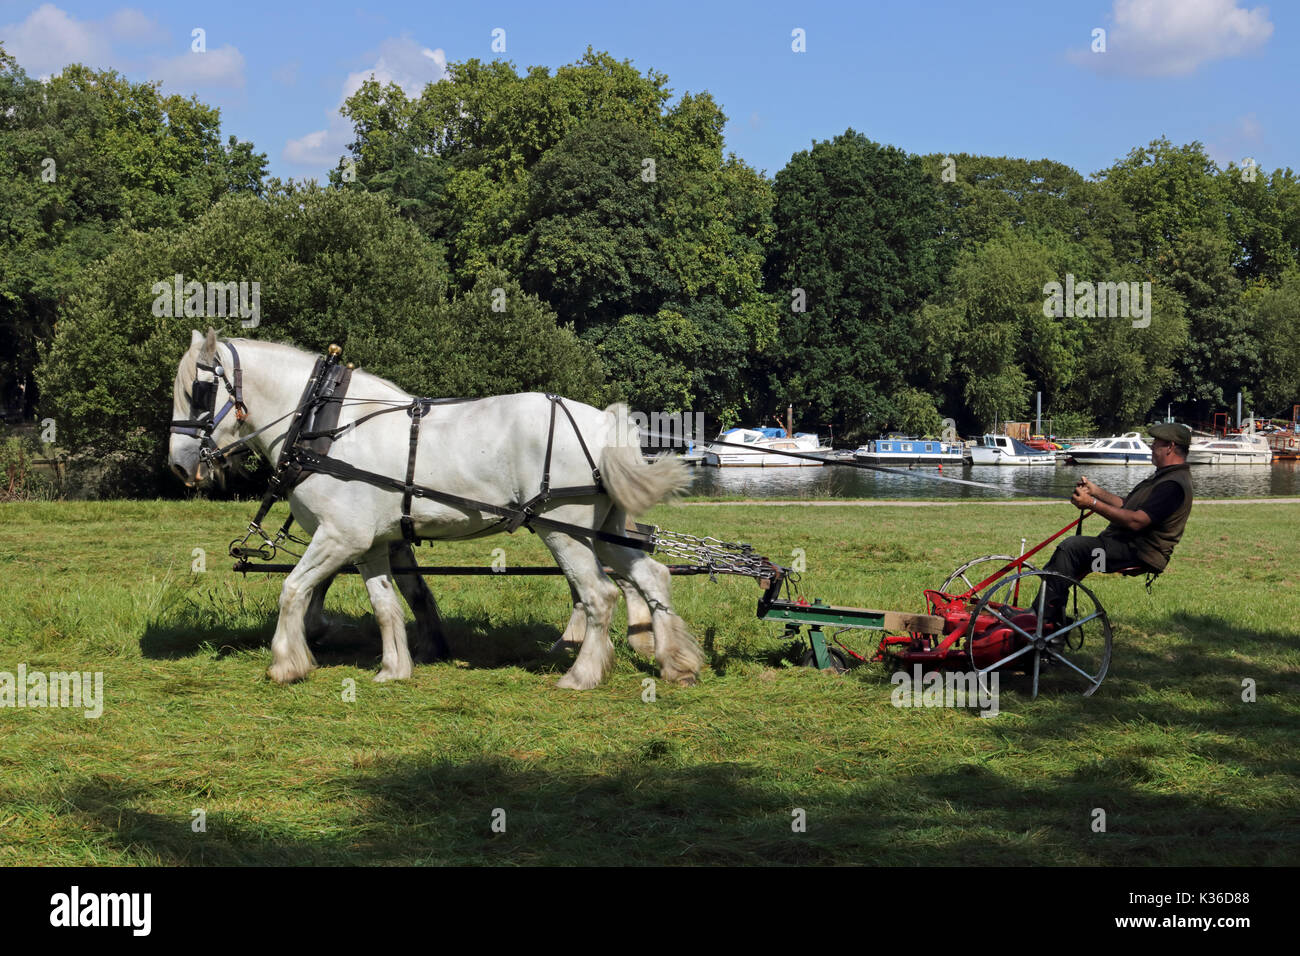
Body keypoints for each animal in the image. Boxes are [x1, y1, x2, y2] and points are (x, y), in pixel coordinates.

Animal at [167, 329, 704, 690]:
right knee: (652, 576)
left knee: (599, 594)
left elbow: (293, 589)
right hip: (605, 529)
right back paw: (675, 662)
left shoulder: (341, 536)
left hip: (566, 531)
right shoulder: (372, 543)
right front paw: (394, 668)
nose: (178, 463)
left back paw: (582, 674)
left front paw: (286, 663)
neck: (324, 424)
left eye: (199, 392)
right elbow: (389, 604)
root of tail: (605, 424)